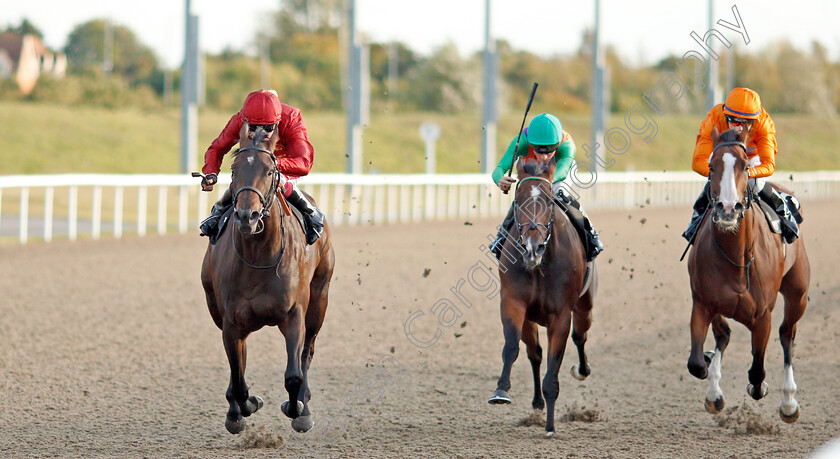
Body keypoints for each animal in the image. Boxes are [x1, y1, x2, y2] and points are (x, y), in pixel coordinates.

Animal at [200, 122, 334, 434]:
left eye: (270, 171)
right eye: (234, 170)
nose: (246, 216)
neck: (258, 258)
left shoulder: (294, 314)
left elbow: (293, 375)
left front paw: (297, 410)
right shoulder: (231, 321)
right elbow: (238, 376)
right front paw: (244, 407)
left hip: (319, 300)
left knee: (308, 352)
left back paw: (304, 403)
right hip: (215, 307)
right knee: (240, 361)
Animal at [486, 153, 596, 436]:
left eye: (548, 200)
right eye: (518, 199)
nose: (531, 248)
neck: (540, 265)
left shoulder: (561, 315)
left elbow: (553, 367)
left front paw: (550, 426)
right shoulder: (513, 303)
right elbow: (512, 348)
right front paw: (501, 390)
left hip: (585, 304)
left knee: (580, 336)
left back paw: (582, 370)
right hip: (531, 318)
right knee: (534, 353)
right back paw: (536, 403)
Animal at [684, 127, 812, 422]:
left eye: (744, 165)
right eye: (711, 166)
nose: (728, 209)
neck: (736, 259)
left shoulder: (763, 315)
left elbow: (756, 371)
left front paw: (762, 387)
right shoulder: (703, 303)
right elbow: (696, 363)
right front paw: (708, 368)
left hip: (797, 293)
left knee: (787, 334)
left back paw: (789, 403)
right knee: (724, 335)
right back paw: (714, 389)